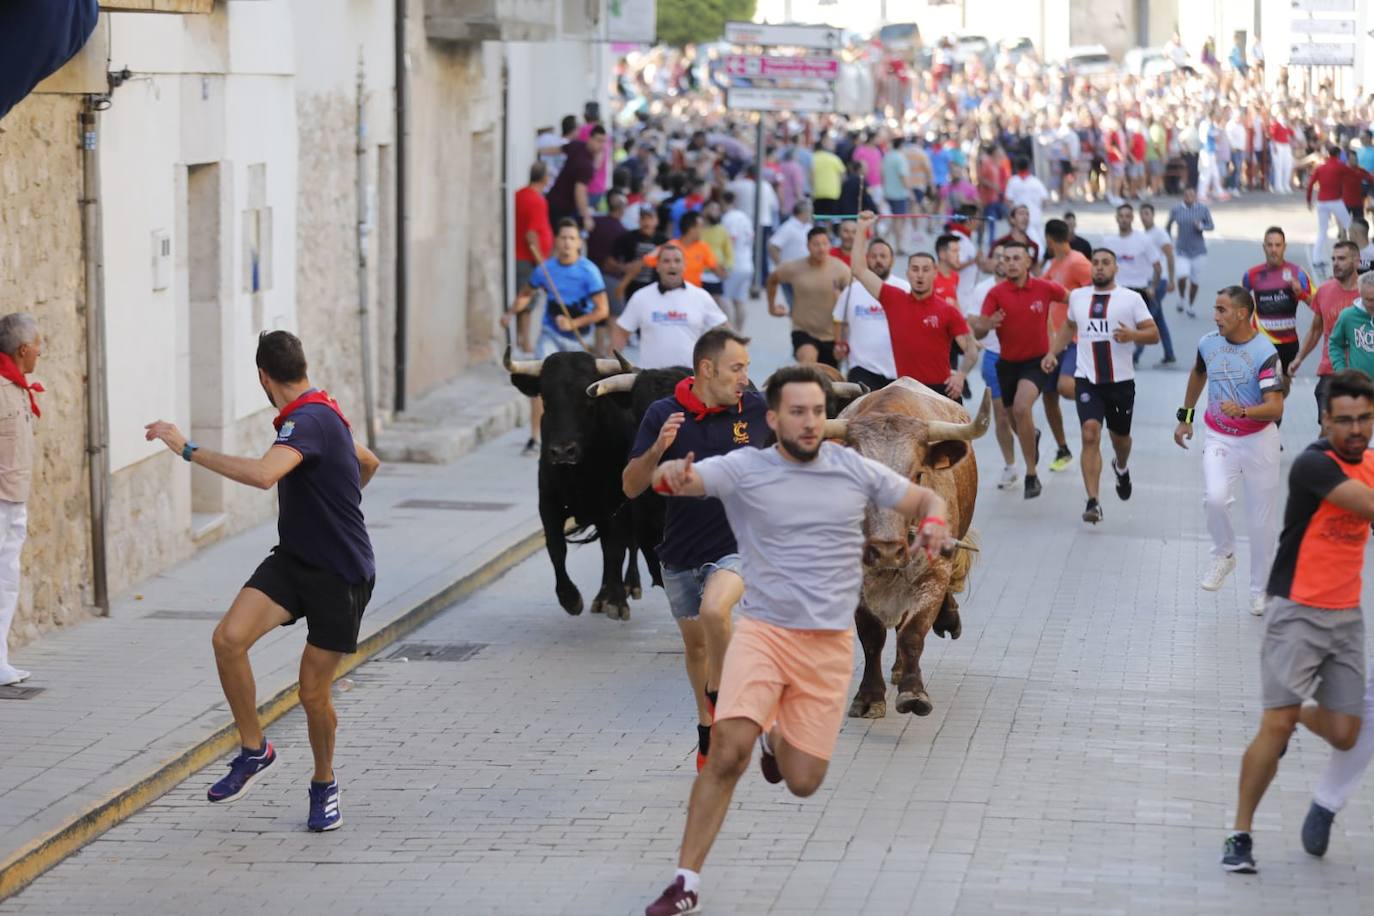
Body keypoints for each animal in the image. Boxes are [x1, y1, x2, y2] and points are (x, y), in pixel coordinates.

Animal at [818, 379, 994, 714]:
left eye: (917, 475)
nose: (887, 550)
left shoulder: (934, 574)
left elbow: (913, 633)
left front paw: (913, 692)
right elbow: (871, 636)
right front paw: (869, 696)